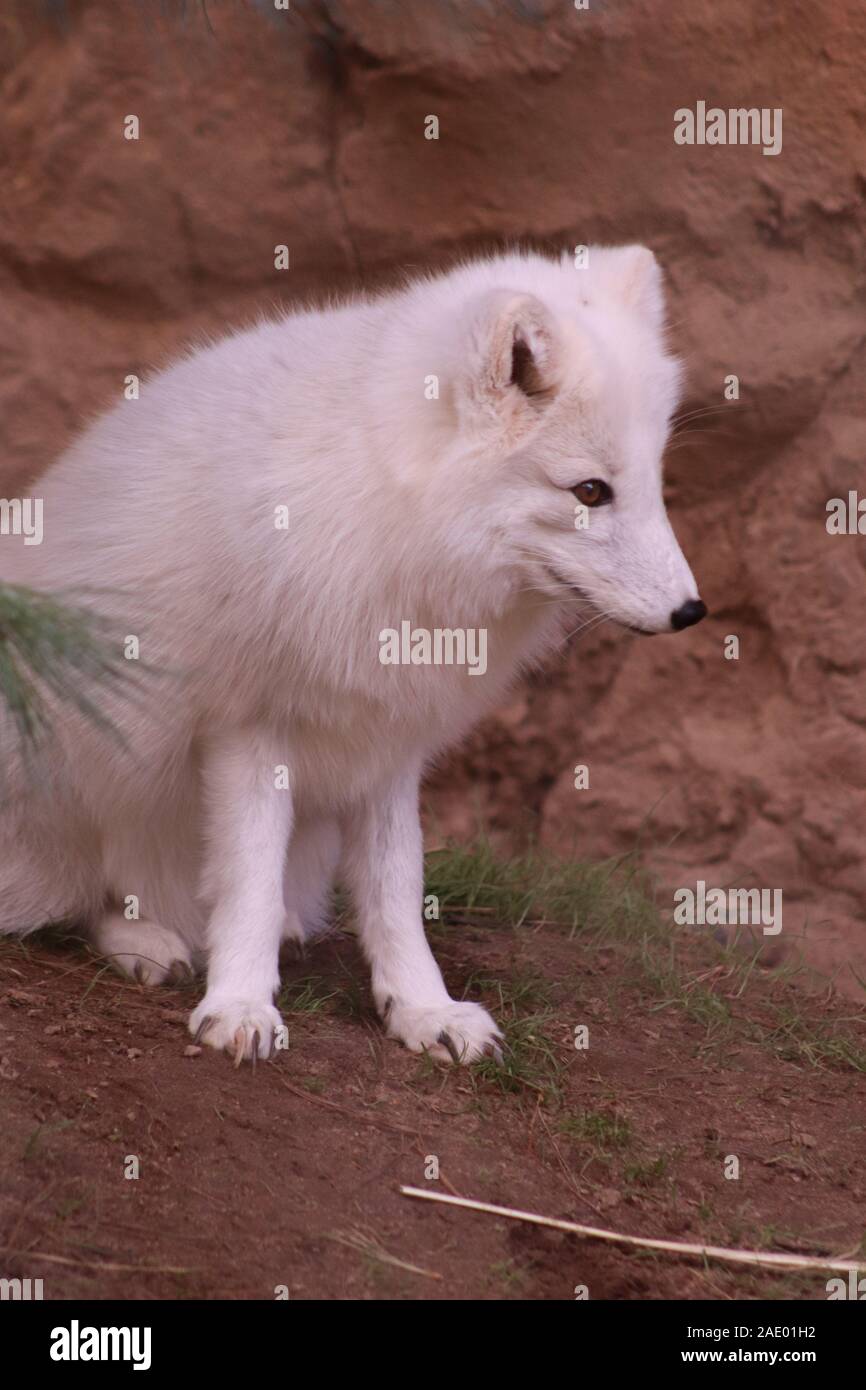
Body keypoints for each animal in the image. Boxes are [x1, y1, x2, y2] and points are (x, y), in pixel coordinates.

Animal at [0, 252, 706, 1061]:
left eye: (653, 482)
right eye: (589, 491)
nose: (692, 612)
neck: (393, 521)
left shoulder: (388, 734)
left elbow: (397, 886)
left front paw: (424, 1008)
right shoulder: (246, 725)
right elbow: (248, 878)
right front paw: (240, 1004)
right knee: (78, 892)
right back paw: (143, 940)